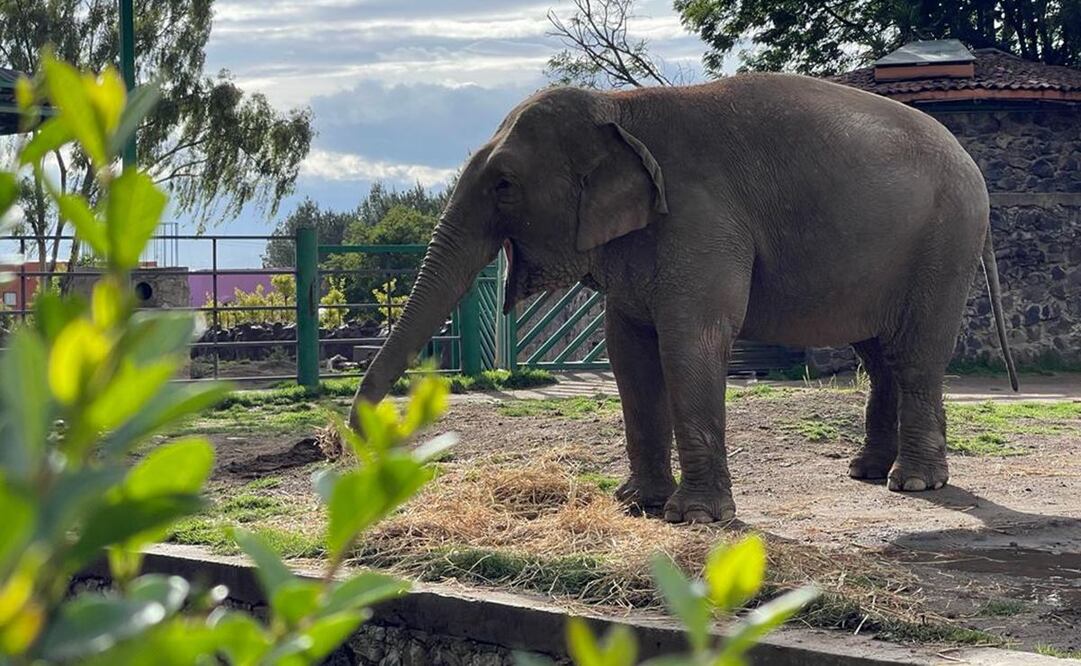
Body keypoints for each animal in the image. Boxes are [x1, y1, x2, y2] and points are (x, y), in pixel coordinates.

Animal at [350, 73, 1019, 524]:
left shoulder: (702, 223)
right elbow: (628, 351)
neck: (619, 107)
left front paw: (693, 518)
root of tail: (971, 163)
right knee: (877, 357)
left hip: (945, 243)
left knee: (914, 355)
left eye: (504, 185)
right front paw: (635, 505)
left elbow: (690, 342)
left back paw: (913, 485)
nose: (350, 450)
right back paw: (867, 472)